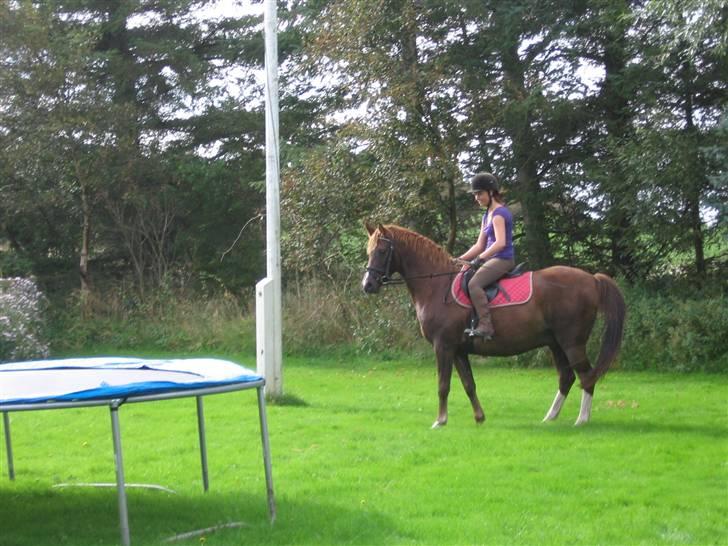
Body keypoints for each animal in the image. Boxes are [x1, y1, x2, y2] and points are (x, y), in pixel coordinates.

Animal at [362, 223, 624, 428]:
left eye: (382, 250)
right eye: (368, 251)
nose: (368, 285)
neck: (437, 285)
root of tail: (591, 279)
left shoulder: (443, 346)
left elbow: (443, 385)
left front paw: (440, 421)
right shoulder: (458, 350)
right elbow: (469, 384)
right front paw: (479, 417)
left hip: (572, 343)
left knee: (586, 376)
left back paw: (582, 420)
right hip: (556, 344)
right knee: (567, 377)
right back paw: (550, 417)